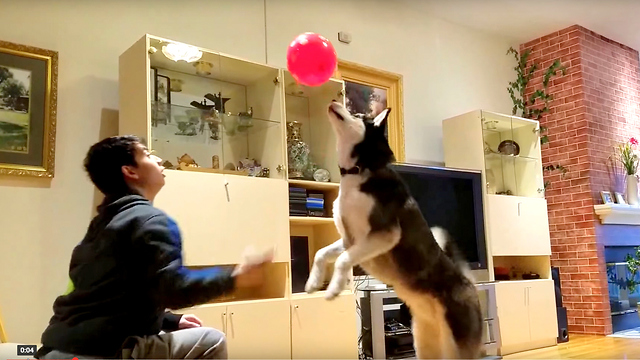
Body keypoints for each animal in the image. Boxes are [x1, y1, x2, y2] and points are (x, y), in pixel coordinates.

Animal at [308, 101, 482, 360]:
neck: (360, 171)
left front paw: (333, 289)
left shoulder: (383, 235)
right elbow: (322, 254)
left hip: (457, 348)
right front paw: (312, 283)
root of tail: (469, 283)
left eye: (358, 115)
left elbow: (341, 261)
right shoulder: (350, 240)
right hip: (425, 345)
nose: (333, 102)